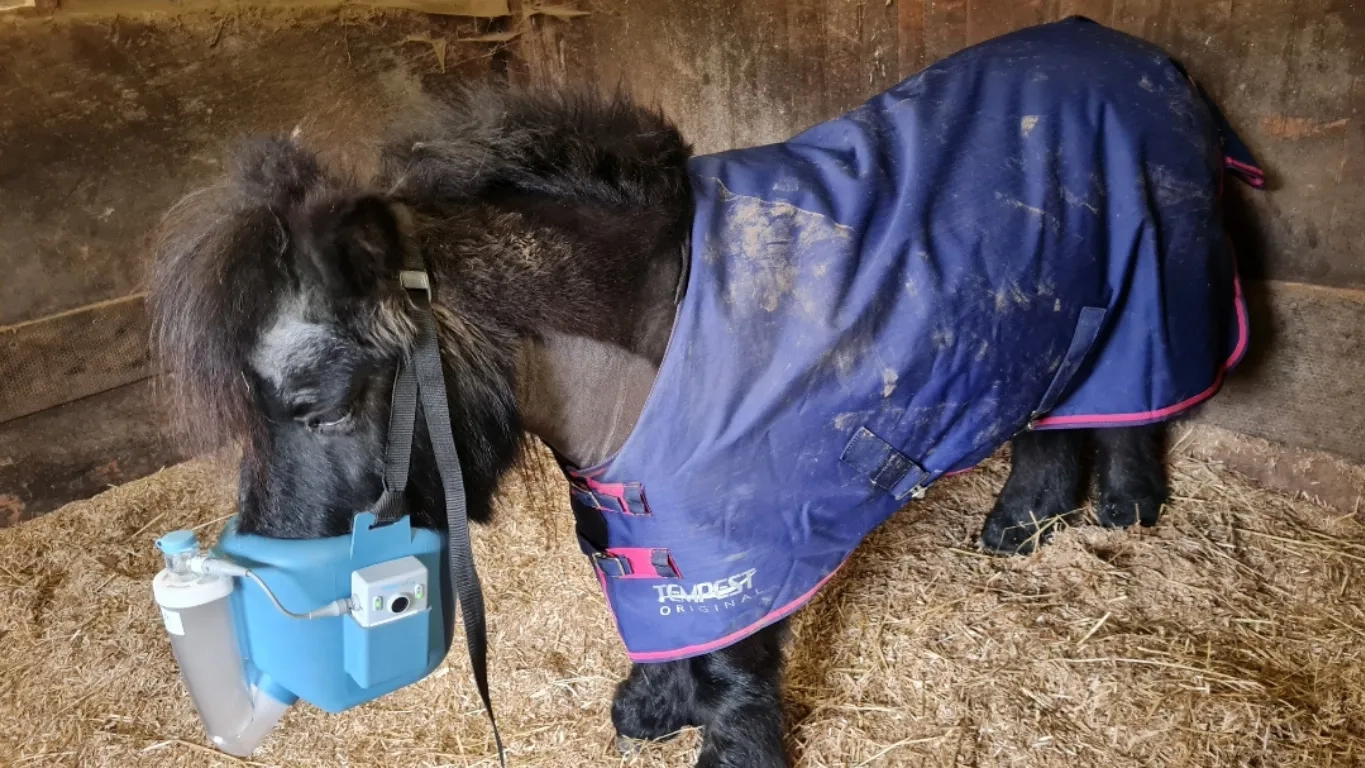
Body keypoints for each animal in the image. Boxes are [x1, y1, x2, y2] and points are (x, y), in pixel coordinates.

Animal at [149, 18, 1261, 768]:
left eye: (325, 406)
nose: (272, 581)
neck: (659, 327)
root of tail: (1138, 56)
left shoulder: (746, 534)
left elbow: (733, 666)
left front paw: (729, 750)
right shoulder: (636, 514)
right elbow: (652, 616)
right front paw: (649, 709)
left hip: (1155, 296)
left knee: (1137, 410)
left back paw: (1123, 509)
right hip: (1047, 325)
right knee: (1051, 424)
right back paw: (1025, 526)